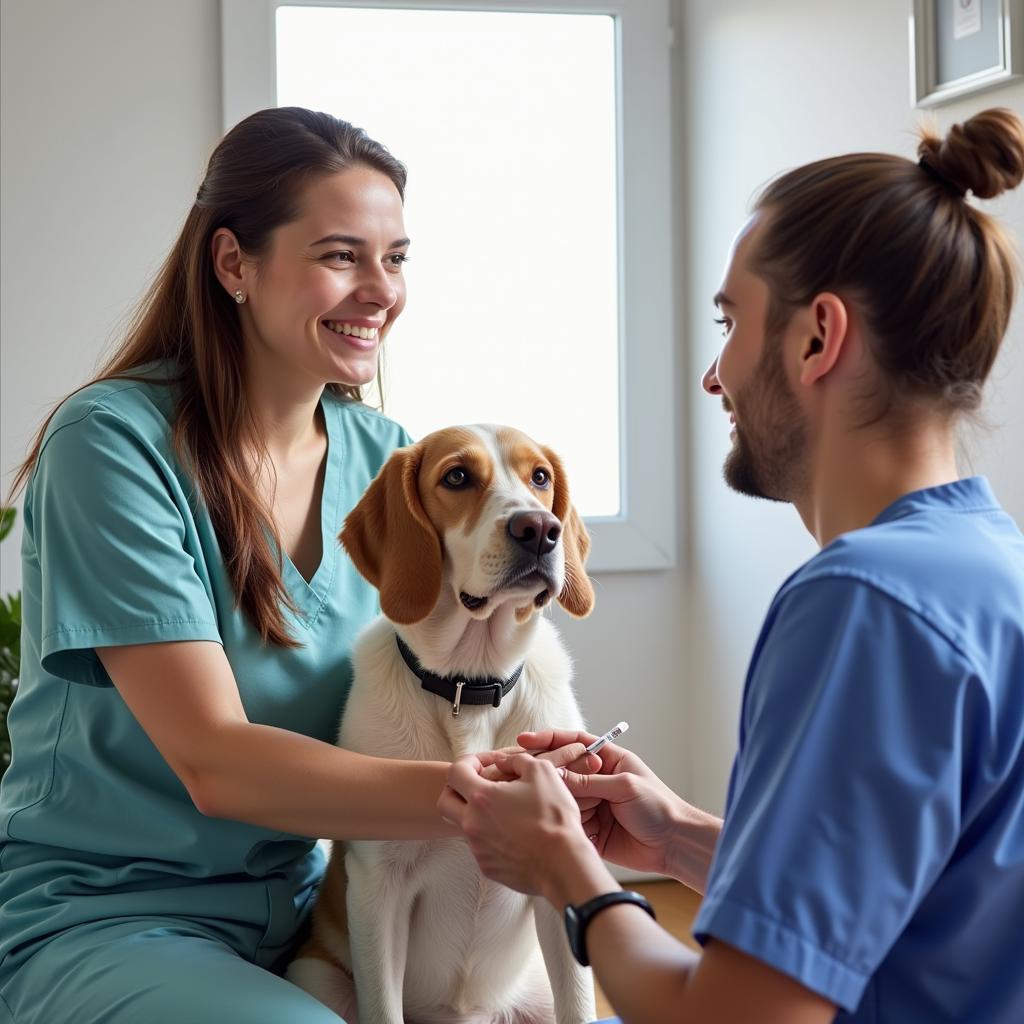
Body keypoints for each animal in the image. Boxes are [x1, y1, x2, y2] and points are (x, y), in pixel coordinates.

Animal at [284, 423, 598, 1024]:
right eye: (456, 477)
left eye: (539, 477)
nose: (540, 530)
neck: (469, 688)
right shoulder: (377, 889)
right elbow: (383, 1007)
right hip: (315, 977)